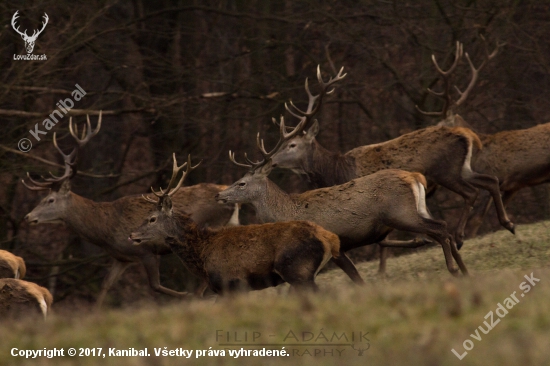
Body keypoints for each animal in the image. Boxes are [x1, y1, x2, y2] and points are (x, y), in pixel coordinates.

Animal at [23, 113, 239, 308]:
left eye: (50, 200)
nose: (28, 217)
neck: (105, 229)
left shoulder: (146, 251)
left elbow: (155, 285)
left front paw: (188, 296)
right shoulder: (121, 257)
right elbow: (105, 285)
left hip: (212, 226)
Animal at [132, 154, 342, 294]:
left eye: (152, 218)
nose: (132, 235)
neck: (202, 254)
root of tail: (330, 238)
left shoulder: (232, 282)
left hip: (298, 270)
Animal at [216, 118, 470, 284]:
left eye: (241, 183)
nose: (219, 195)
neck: (287, 210)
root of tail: (415, 177)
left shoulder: (336, 245)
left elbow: (355, 278)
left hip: (401, 214)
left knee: (439, 229)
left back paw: (454, 269)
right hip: (418, 209)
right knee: (442, 228)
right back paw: (464, 269)